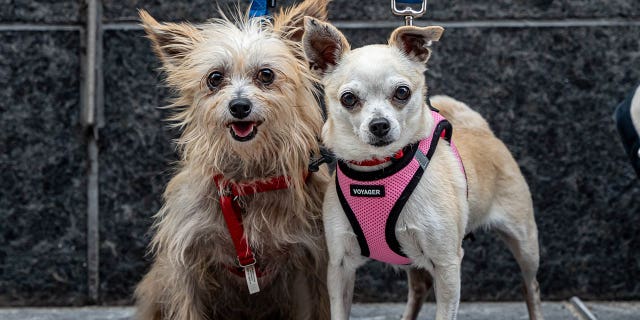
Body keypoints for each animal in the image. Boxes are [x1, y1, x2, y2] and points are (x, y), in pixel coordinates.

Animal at [136, 1, 336, 318]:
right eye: (215, 78)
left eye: (266, 75)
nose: (239, 106)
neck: (248, 179)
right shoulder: (186, 264)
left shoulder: (310, 264)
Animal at [302, 16, 544, 320]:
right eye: (348, 99)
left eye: (402, 92)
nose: (379, 125)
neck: (379, 171)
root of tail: (481, 129)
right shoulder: (340, 267)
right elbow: (339, 311)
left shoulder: (447, 264)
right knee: (419, 286)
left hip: (525, 244)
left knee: (531, 285)